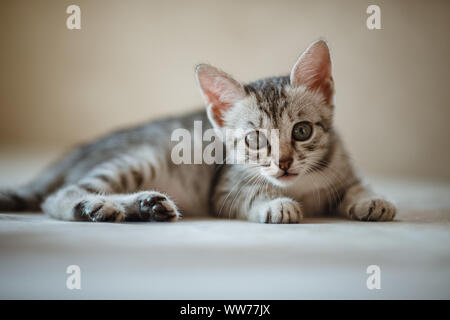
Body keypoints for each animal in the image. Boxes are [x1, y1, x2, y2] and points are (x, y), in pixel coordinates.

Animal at [0, 40, 396, 222]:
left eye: (301, 131)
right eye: (255, 139)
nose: (284, 163)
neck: (300, 185)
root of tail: (77, 151)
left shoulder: (342, 165)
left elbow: (355, 185)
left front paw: (371, 200)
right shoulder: (223, 191)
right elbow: (252, 195)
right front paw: (277, 204)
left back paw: (148, 205)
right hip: (139, 157)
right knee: (59, 195)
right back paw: (95, 206)